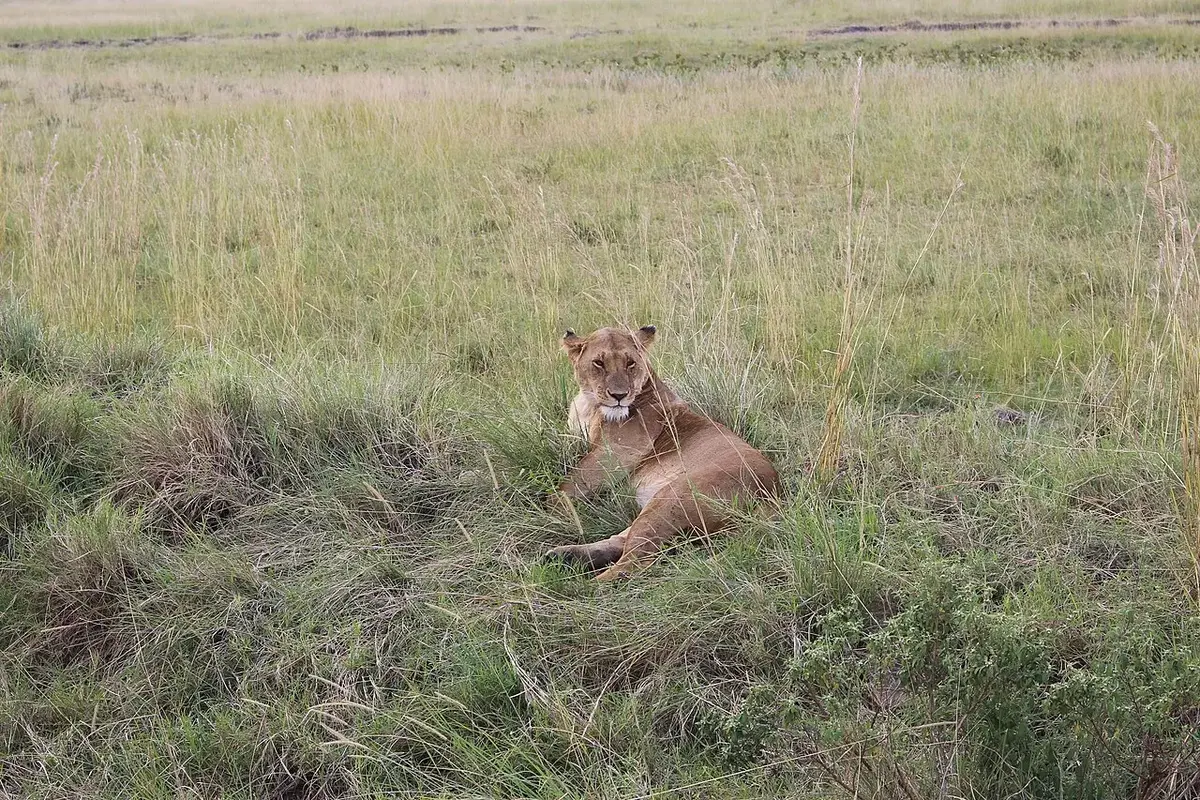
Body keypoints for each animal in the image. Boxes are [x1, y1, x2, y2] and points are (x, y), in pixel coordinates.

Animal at [546, 325, 780, 581]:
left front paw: (555, 516)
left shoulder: (612, 456)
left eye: (630, 363)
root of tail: (774, 494)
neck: (589, 404)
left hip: (671, 499)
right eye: (599, 363)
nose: (619, 396)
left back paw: (581, 583)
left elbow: (563, 491)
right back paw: (564, 556)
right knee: (622, 541)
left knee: (634, 562)